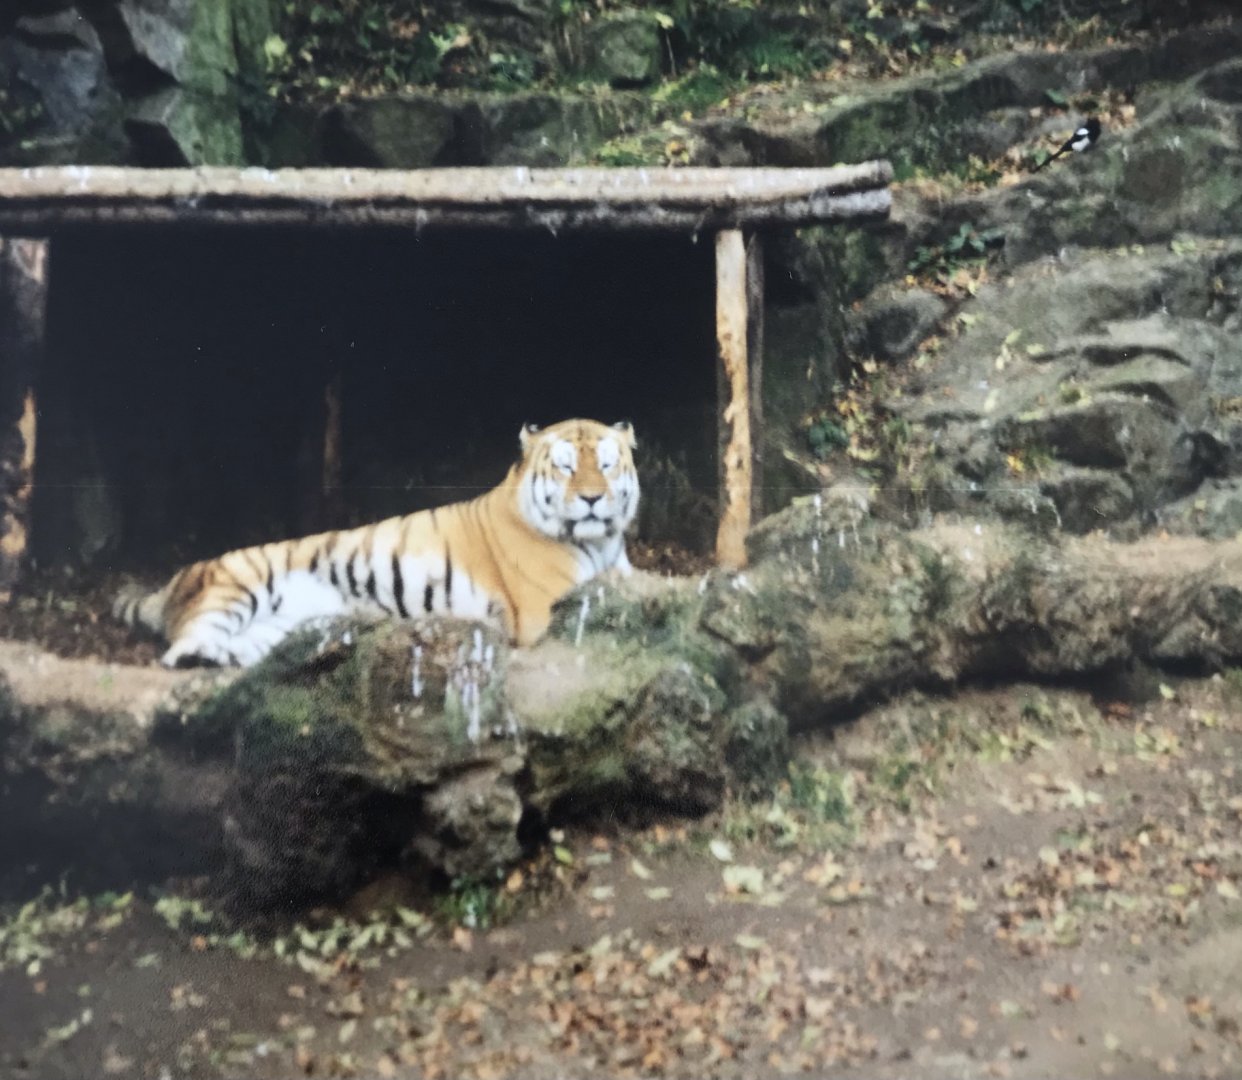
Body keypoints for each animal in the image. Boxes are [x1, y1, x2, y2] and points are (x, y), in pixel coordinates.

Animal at [114, 418, 640, 668]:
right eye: (567, 466)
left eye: (606, 463)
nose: (592, 498)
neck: (601, 543)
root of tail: (177, 577)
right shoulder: (541, 608)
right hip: (238, 585)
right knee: (186, 636)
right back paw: (192, 655)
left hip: (279, 625)